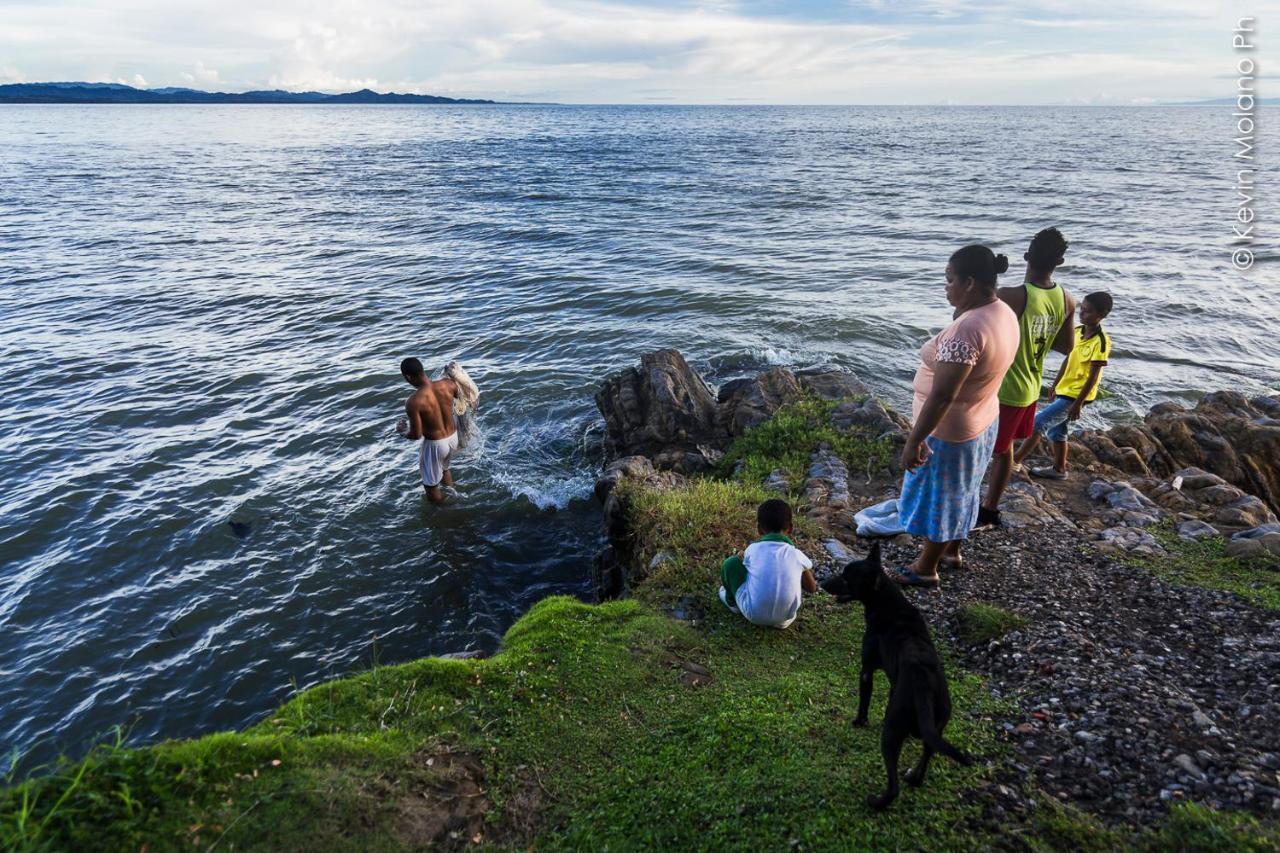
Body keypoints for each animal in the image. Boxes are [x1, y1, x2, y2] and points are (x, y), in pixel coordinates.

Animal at [819, 540, 967, 809]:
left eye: (846, 578)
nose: (822, 583)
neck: (890, 605)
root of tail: (924, 685)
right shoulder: (892, 682)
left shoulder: (866, 670)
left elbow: (864, 701)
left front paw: (859, 722)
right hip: (936, 727)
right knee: (928, 751)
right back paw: (915, 778)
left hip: (892, 731)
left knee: (893, 784)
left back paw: (877, 801)